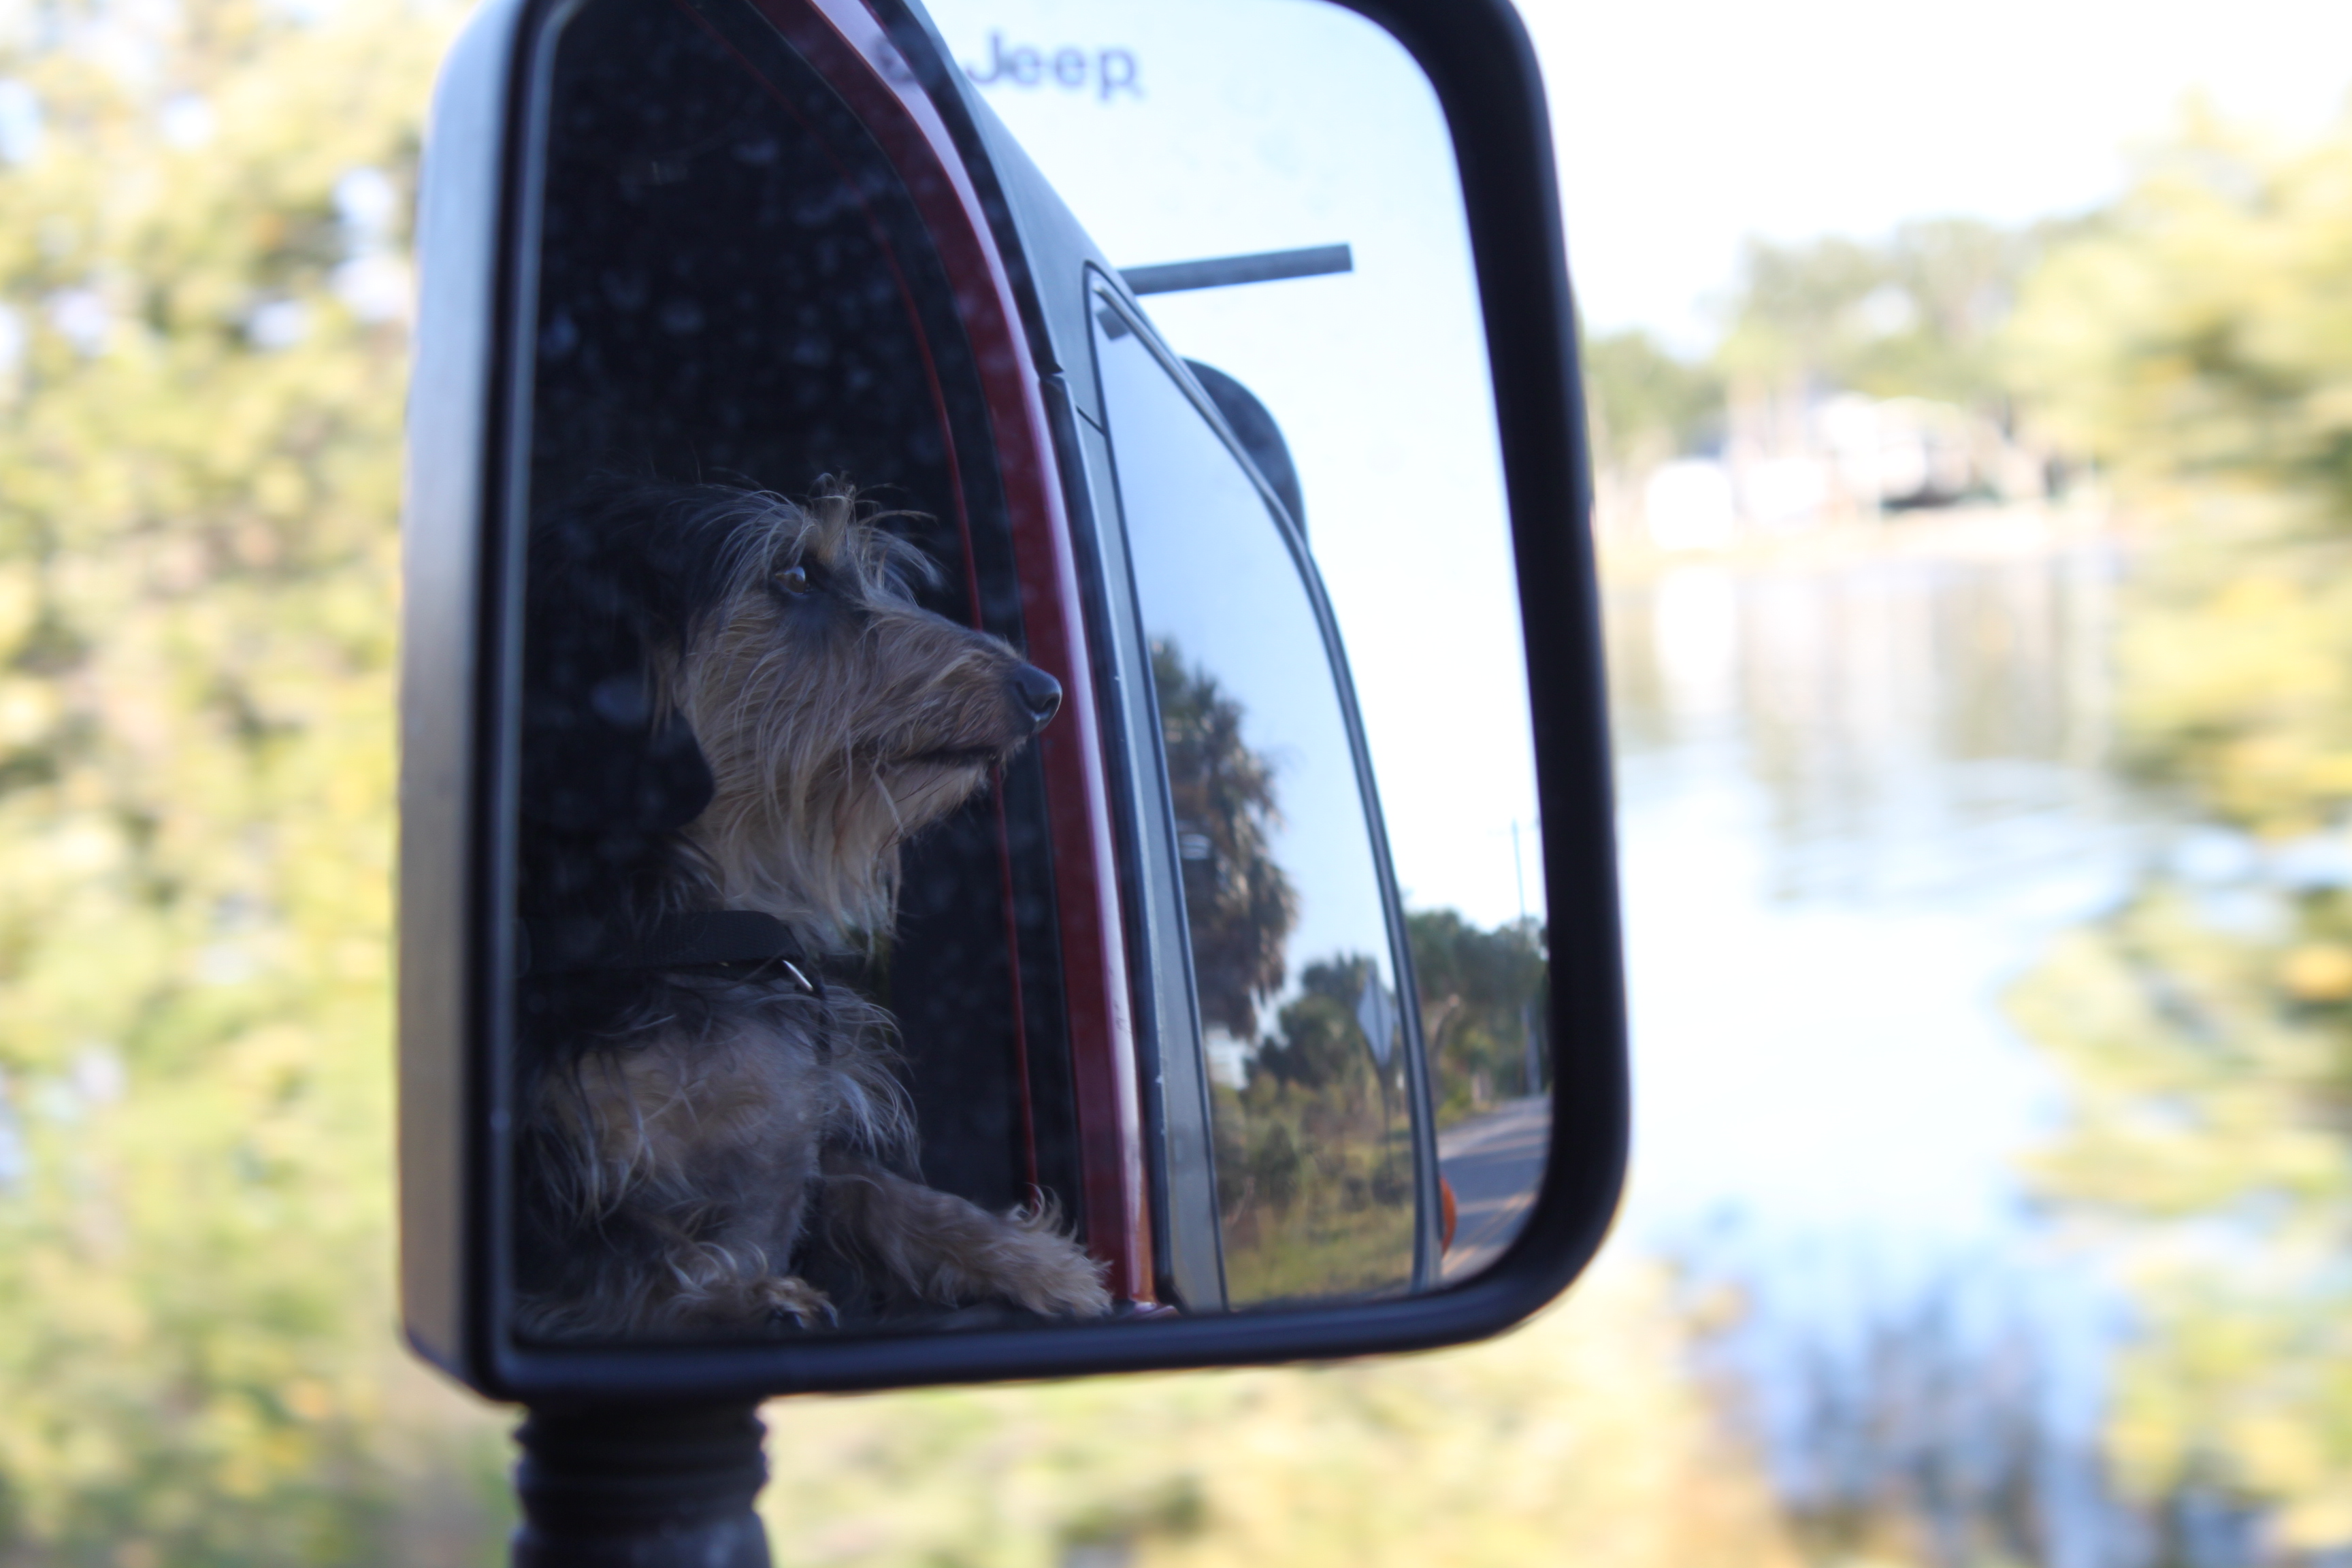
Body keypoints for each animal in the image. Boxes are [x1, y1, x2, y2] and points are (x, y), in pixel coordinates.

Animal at [512, 479, 1110, 1335]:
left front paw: (1033, 1258)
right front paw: (745, 1298)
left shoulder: (809, 1143)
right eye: (795, 575)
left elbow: (878, 1189)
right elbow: (640, 1253)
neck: (687, 930)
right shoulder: (547, 1185)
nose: (1045, 692)